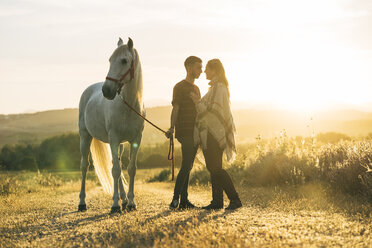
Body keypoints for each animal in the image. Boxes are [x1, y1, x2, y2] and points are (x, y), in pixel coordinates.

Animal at [78, 36, 144, 213]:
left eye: (124, 60)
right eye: (110, 60)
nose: (107, 90)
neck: (129, 106)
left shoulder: (136, 139)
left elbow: (130, 169)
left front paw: (131, 202)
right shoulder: (114, 138)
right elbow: (115, 171)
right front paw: (114, 205)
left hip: (119, 144)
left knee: (118, 164)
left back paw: (124, 200)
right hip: (85, 137)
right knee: (85, 166)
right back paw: (82, 203)